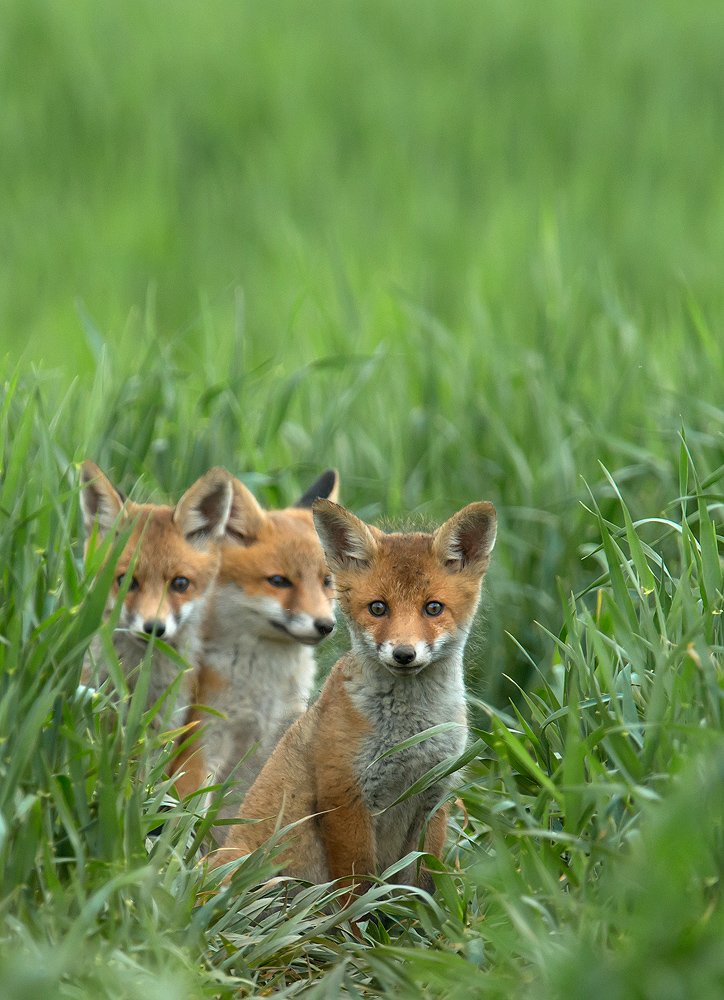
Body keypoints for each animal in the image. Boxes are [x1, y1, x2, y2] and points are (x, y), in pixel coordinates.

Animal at [169, 470, 340, 817]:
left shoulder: (278, 740)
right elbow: (191, 819)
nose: (325, 626)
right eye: (279, 581)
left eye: (326, 581)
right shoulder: (203, 743)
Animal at [210, 497, 497, 899]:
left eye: (433, 608)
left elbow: (422, 885)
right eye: (378, 608)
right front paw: (362, 919)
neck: (410, 736)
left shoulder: (435, 797)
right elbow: (357, 888)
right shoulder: (344, 797)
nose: (404, 654)